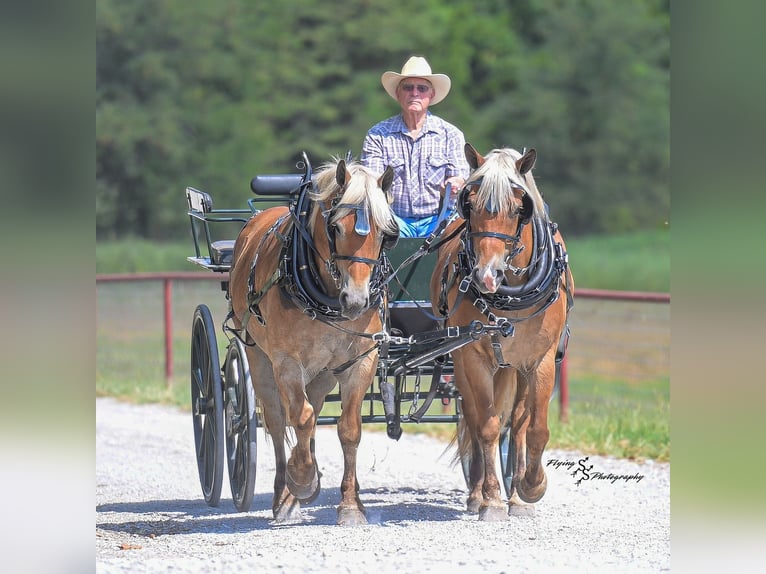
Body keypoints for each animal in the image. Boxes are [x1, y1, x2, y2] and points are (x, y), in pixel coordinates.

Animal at [228, 156, 398, 525]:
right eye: (335, 228)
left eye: (385, 233)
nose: (357, 301)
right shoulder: (286, 361)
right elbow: (300, 418)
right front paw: (302, 479)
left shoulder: (360, 360)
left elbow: (349, 428)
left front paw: (350, 505)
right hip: (258, 357)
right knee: (279, 419)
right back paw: (284, 495)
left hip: (322, 373)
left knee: (314, 409)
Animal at [430, 144, 574, 520]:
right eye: (469, 203)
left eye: (518, 207)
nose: (486, 275)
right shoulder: (473, 357)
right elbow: (488, 425)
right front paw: (492, 499)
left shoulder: (540, 360)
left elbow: (535, 428)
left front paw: (530, 487)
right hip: (464, 363)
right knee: (474, 418)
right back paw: (478, 492)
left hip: (514, 368)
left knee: (519, 422)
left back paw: (518, 495)